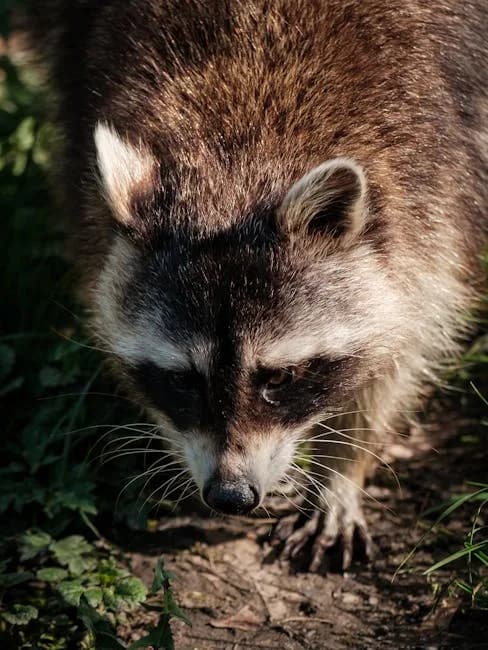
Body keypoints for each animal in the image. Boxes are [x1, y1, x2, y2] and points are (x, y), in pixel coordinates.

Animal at [25, 0, 487, 569]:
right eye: (182, 379)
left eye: (281, 377)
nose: (231, 495)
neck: (241, 148)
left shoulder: (437, 176)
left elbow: (405, 339)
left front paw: (342, 465)